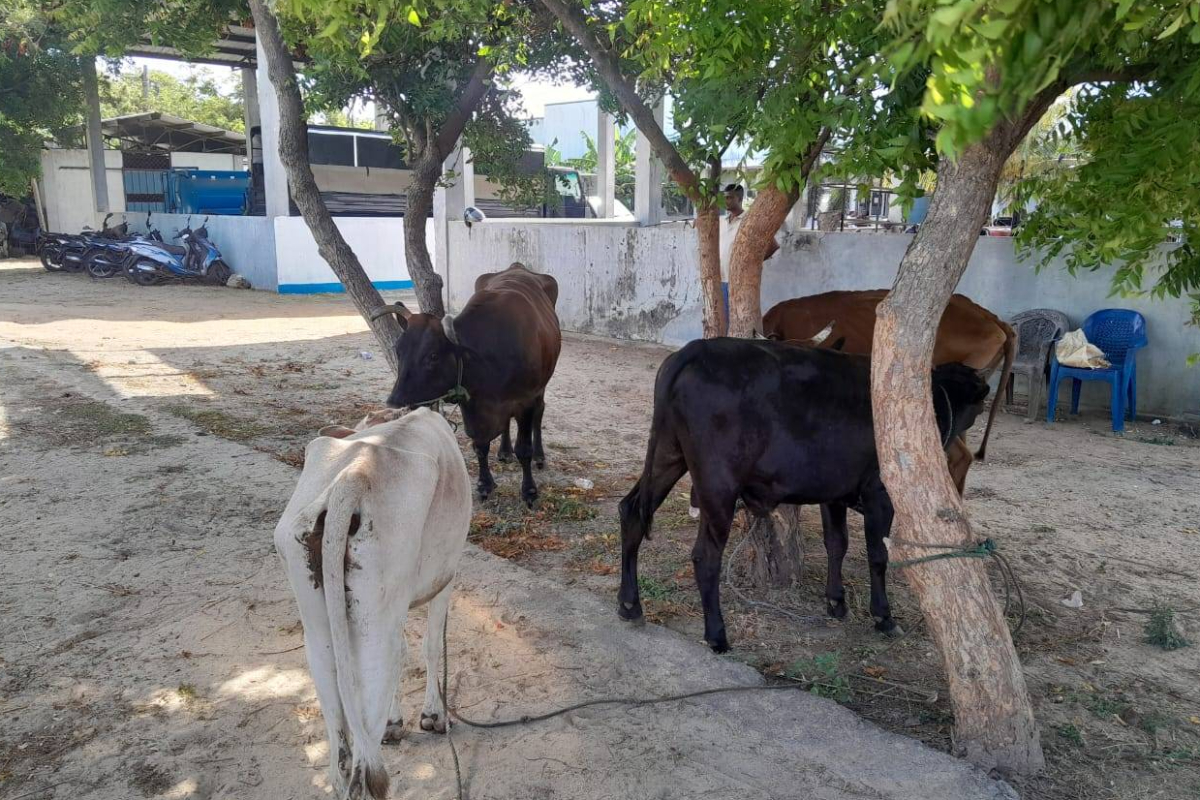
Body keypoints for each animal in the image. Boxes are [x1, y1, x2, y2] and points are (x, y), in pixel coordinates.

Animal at [274, 407, 472, 800]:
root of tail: (354, 477)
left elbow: (408, 651)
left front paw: (397, 722)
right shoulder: (446, 577)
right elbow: (429, 647)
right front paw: (433, 716)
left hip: (320, 630)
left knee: (341, 762)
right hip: (377, 626)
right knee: (364, 772)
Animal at [373, 263, 561, 505]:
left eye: (433, 355)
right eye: (398, 351)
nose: (394, 402)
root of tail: (518, 267)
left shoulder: (525, 401)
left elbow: (524, 449)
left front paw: (529, 490)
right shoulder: (470, 403)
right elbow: (479, 446)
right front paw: (485, 484)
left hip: (541, 387)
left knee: (540, 412)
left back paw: (539, 455)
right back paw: (504, 451)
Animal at [618, 338, 990, 653]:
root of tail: (693, 350)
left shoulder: (834, 493)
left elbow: (836, 544)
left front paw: (836, 601)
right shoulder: (880, 493)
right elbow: (878, 555)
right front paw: (883, 616)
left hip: (668, 454)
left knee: (631, 511)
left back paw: (629, 605)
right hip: (717, 484)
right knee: (705, 556)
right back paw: (717, 635)